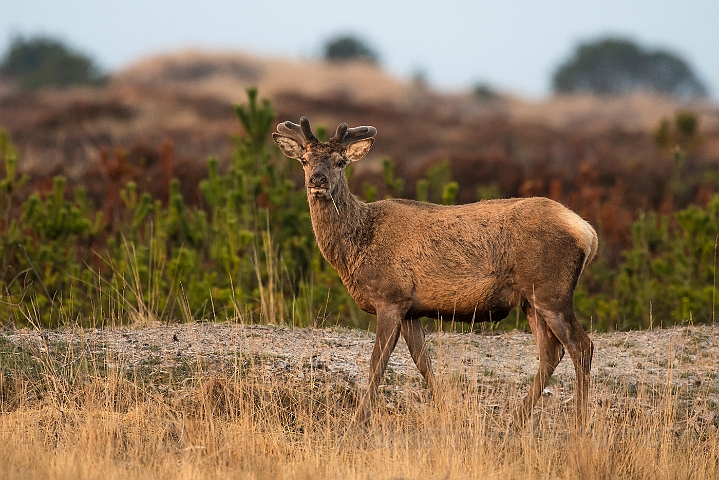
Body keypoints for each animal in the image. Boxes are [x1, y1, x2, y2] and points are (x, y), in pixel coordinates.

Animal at [272, 117, 600, 428]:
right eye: (304, 159)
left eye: (340, 161)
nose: (318, 179)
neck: (357, 246)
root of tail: (589, 233)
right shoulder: (410, 308)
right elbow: (423, 362)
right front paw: (446, 413)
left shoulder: (390, 297)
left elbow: (378, 362)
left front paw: (358, 421)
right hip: (531, 300)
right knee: (551, 352)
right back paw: (515, 423)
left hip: (551, 291)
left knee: (580, 345)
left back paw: (580, 425)